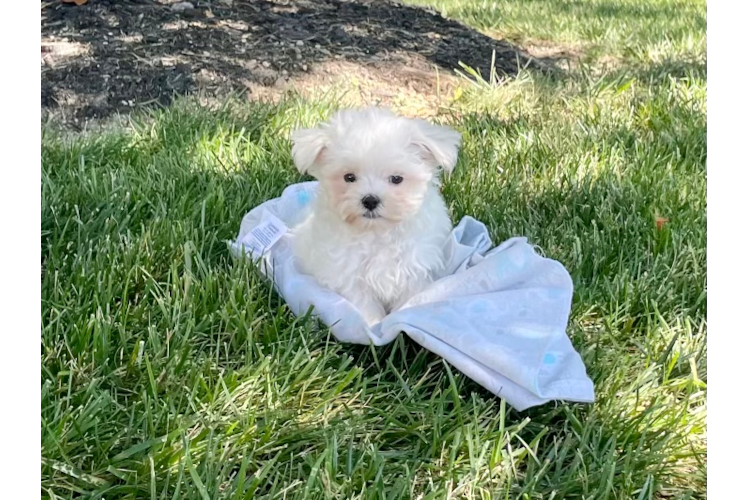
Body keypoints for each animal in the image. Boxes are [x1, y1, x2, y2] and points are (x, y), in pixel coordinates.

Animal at [288, 107, 458, 326]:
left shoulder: (414, 269)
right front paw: (373, 325)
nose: (370, 200)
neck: (377, 232)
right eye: (349, 177)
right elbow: (364, 303)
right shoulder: (348, 274)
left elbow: (408, 299)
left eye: (397, 179)